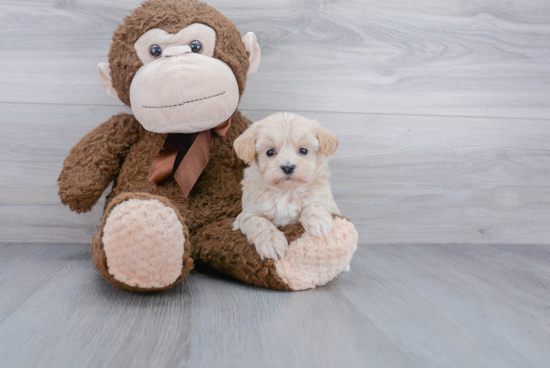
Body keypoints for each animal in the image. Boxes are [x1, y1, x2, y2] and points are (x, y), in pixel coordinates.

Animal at [232, 113, 340, 260]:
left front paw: (318, 221)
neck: (287, 192)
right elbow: (260, 223)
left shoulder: (329, 202)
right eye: (270, 152)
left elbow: (314, 203)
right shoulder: (247, 214)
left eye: (303, 150)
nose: (288, 167)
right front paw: (271, 243)